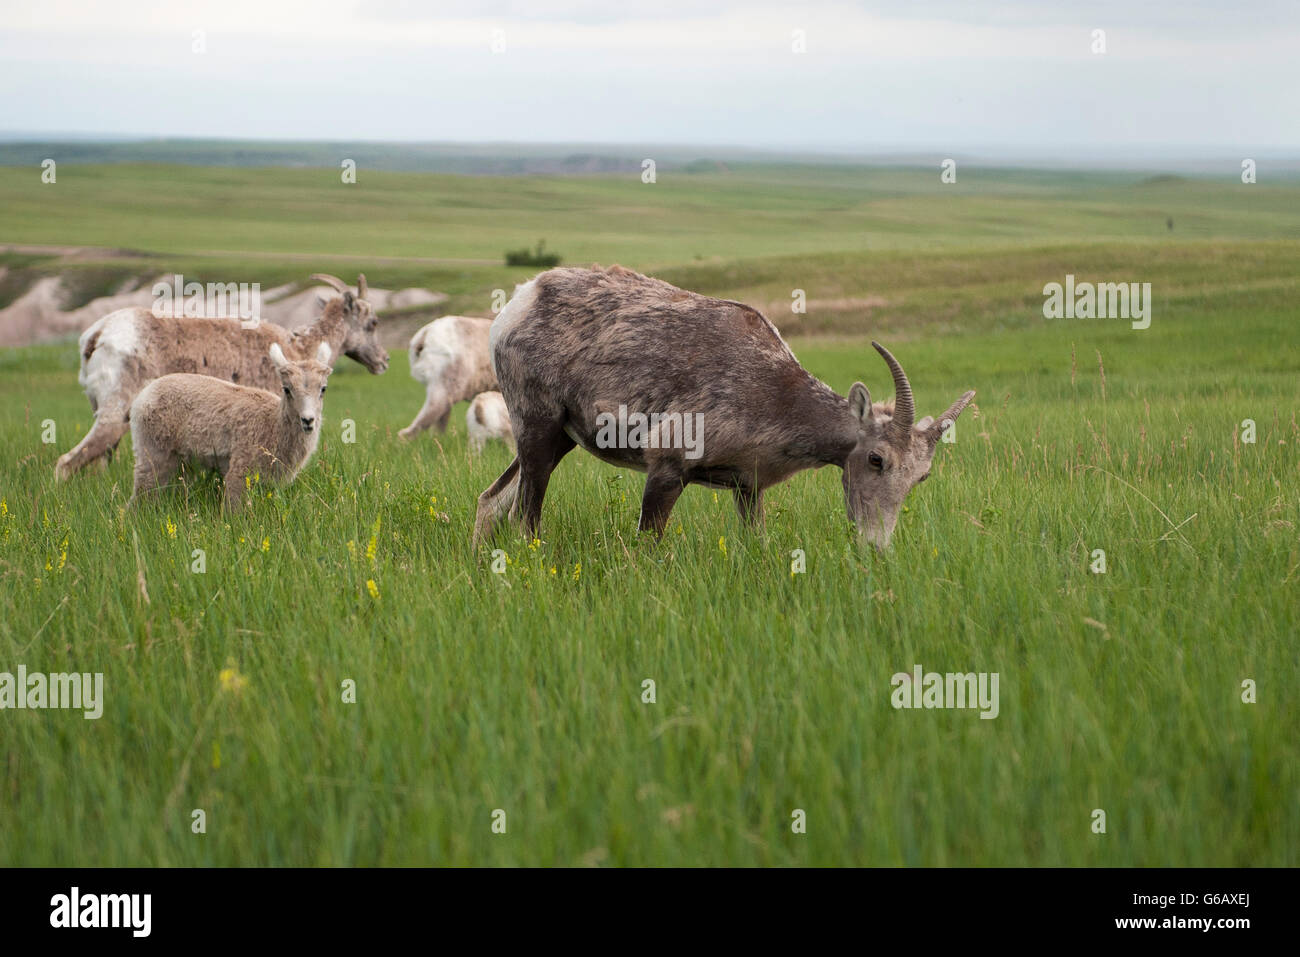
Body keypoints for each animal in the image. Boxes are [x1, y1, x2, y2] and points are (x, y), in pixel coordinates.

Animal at [55, 273, 386, 480]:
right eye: (372, 322)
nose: (384, 361)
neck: (298, 348)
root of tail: (96, 336)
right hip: (114, 416)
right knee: (66, 464)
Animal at [128, 342, 333, 510]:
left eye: (323, 389)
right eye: (287, 389)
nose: (308, 420)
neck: (272, 424)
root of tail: (143, 395)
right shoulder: (240, 471)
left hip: (181, 462)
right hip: (152, 450)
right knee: (142, 492)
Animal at [474, 265, 975, 548]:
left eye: (921, 476)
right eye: (876, 458)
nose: (877, 547)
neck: (770, 392)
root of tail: (516, 305)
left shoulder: (747, 488)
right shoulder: (667, 468)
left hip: (559, 440)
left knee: (490, 502)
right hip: (538, 431)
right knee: (523, 519)